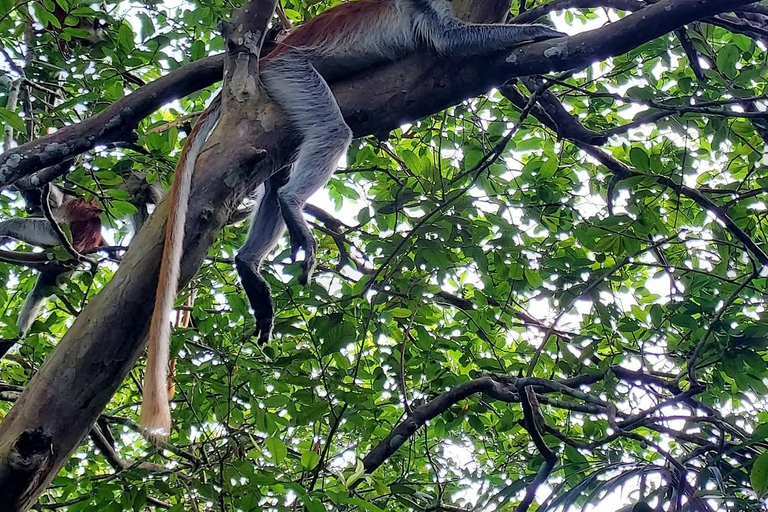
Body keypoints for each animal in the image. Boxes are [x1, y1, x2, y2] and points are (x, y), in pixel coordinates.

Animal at [0, 184, 103, 353]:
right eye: (24, 195)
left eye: (28, 194)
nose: (28, 204)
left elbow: (55, 199)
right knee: (43, 289)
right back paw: (13, 339)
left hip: (59, 233)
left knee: (15, 223)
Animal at [140, 0, 567, 440]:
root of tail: (269, 57)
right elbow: (452, 41)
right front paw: (540, 32)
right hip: (291, 75)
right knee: (329, 134)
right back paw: (293, 205)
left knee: (276, 177)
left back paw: (249, 263)